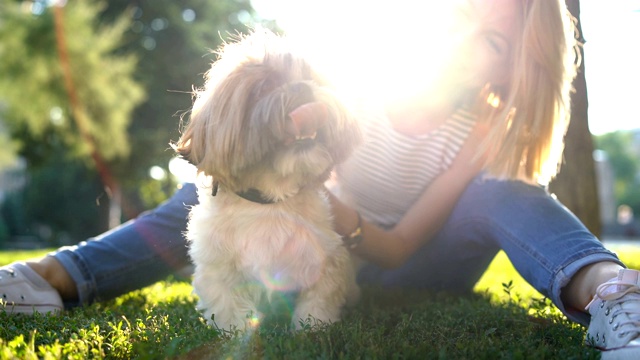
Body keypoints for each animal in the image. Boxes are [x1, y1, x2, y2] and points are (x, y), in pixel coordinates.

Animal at [175, 31, 362, 332]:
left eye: (311, 78)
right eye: (264, 86)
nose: (301, 87)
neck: (270, 202)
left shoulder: (326, 260)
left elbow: (317, 302)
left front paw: (311, 329)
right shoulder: (218, 269)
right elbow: (231, 309)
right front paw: (239, 332)